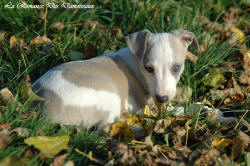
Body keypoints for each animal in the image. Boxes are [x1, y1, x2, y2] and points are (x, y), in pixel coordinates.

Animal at [31, 29, 199, 128]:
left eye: (176, 67)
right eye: (149, 69)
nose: (162, 98)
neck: (136, 60)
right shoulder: (151, 106)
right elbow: (183, 108)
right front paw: (203, 108)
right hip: (110, 96)